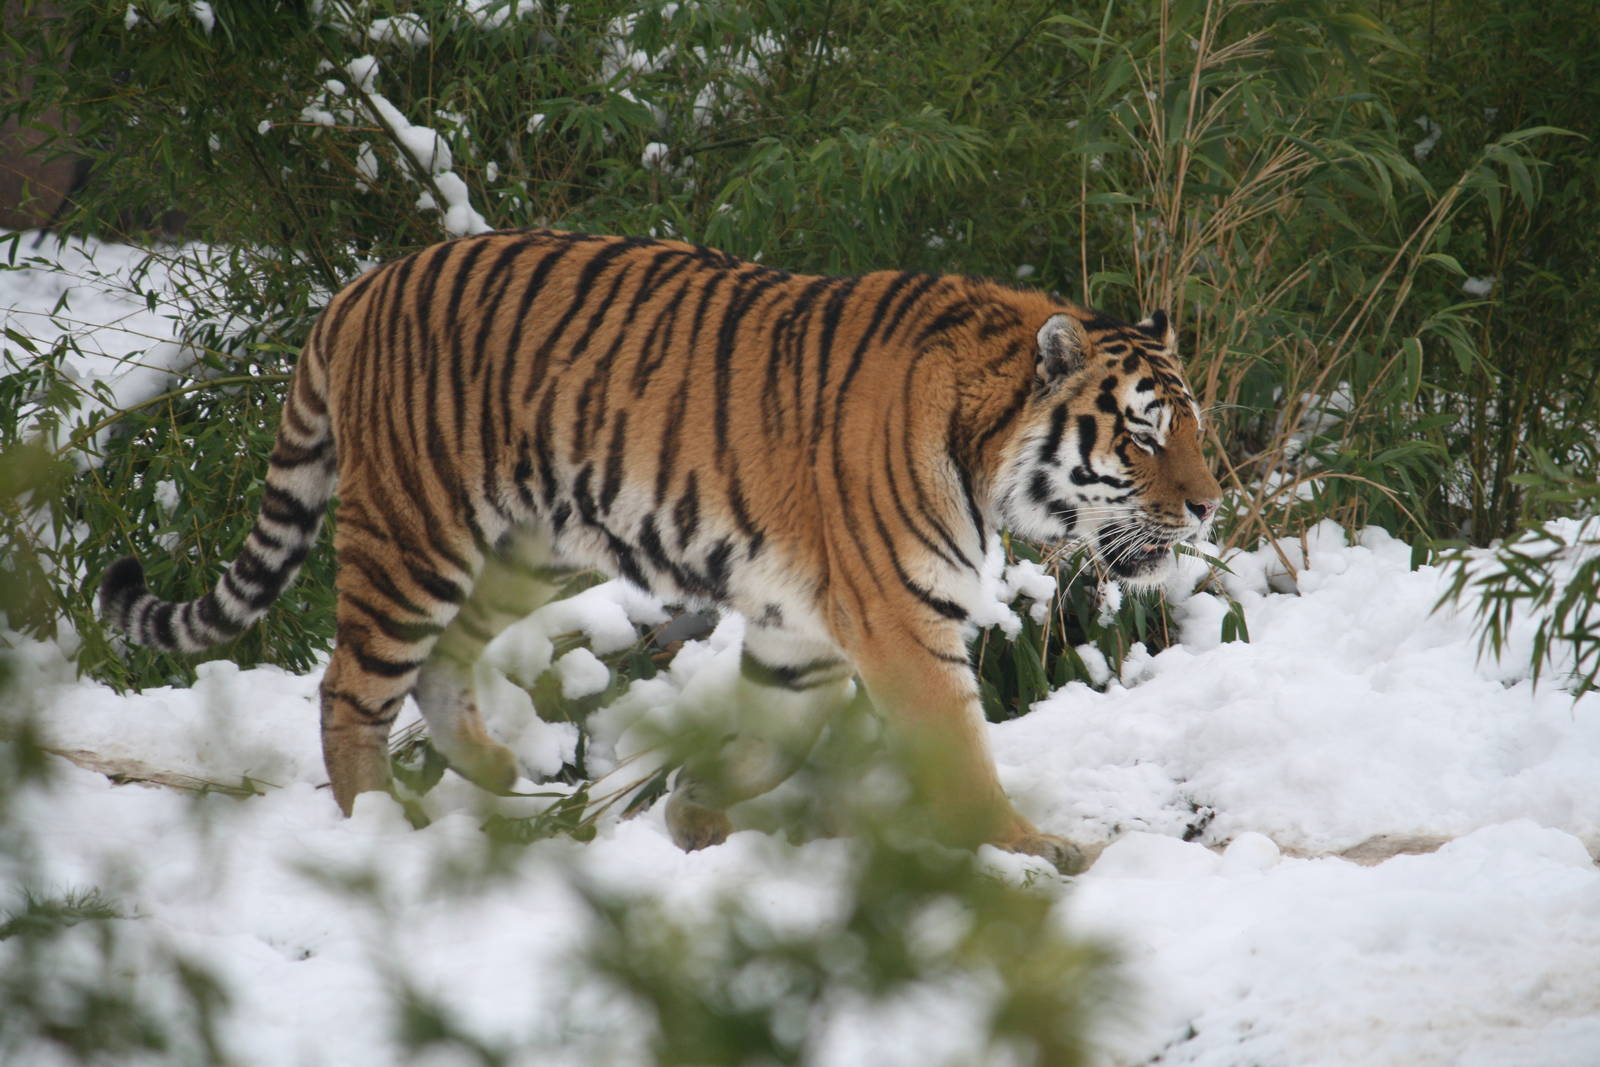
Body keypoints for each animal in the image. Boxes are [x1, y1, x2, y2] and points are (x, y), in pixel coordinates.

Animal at [99, 228, 1222, 874]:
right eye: (1143, 435)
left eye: (1194, 431)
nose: (1211, 507)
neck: (981, 435)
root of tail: (358, 289)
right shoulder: (905, 624)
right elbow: (960, 754)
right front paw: (1038, 850)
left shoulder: (806, 630)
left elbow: (775, 735)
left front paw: (695, 814)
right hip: (417, 533)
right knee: (349, 683)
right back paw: (379, 820)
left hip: (526, 547)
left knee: (441, 661)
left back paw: (497, 775)